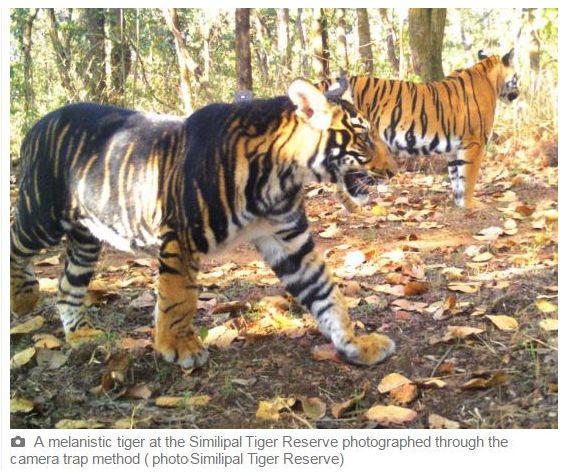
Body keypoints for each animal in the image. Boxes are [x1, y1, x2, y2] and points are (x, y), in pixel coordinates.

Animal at [9, 79, 396, 370]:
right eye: (363, 138)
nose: (394, 170)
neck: (282, 177)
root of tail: (37, 125)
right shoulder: (181, 236)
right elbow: (179, 297)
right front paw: (178, 346)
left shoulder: (288, 239)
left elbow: (327, 293)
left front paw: (356, 343)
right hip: (40, 215)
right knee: (16, 244)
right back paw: (23, 298)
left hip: (86, 237)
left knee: (67, 286)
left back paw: (80, 336)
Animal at [322, 49, 520, 208]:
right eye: (517, 77)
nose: (519, 93)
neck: (490, 78)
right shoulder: (474, 143)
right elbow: (468, 178)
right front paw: (471, 205)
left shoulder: (454, 148)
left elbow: (456, 177)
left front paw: (459, 203)